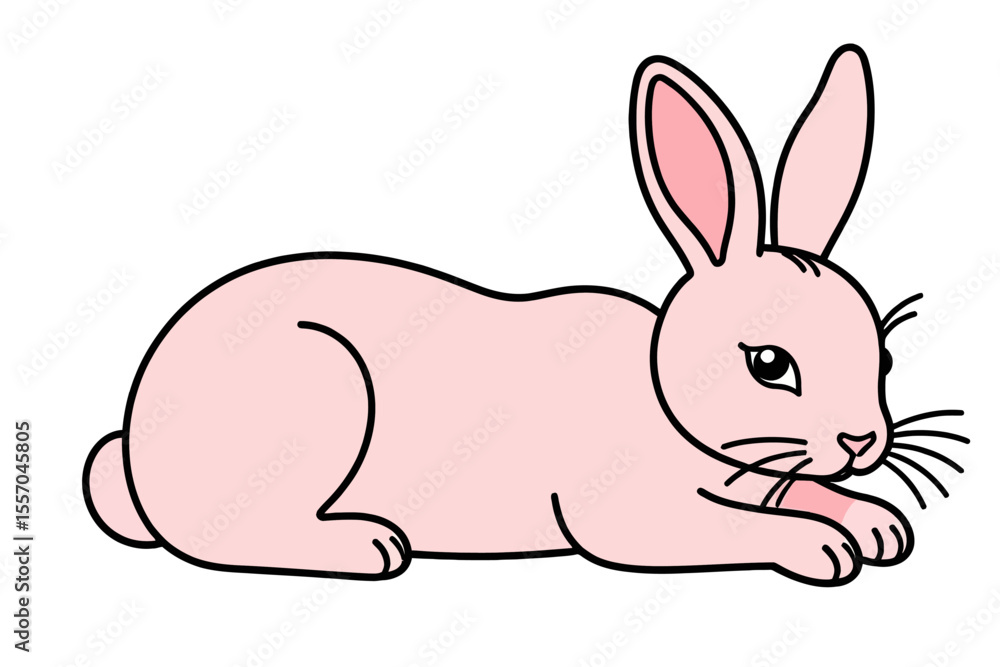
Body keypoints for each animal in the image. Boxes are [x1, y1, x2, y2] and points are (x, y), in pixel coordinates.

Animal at [83, 44, 965, 587]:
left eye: (885, 358)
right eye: (769, 364)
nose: (864, 442)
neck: (665, 395)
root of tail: (136, 449)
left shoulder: (765, 474)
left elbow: (801, 491)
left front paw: (876, 523)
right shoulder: (630, 515)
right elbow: (730, 528)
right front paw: (825, 546)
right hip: (316, 390)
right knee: (218, 534)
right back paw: (366, 543)